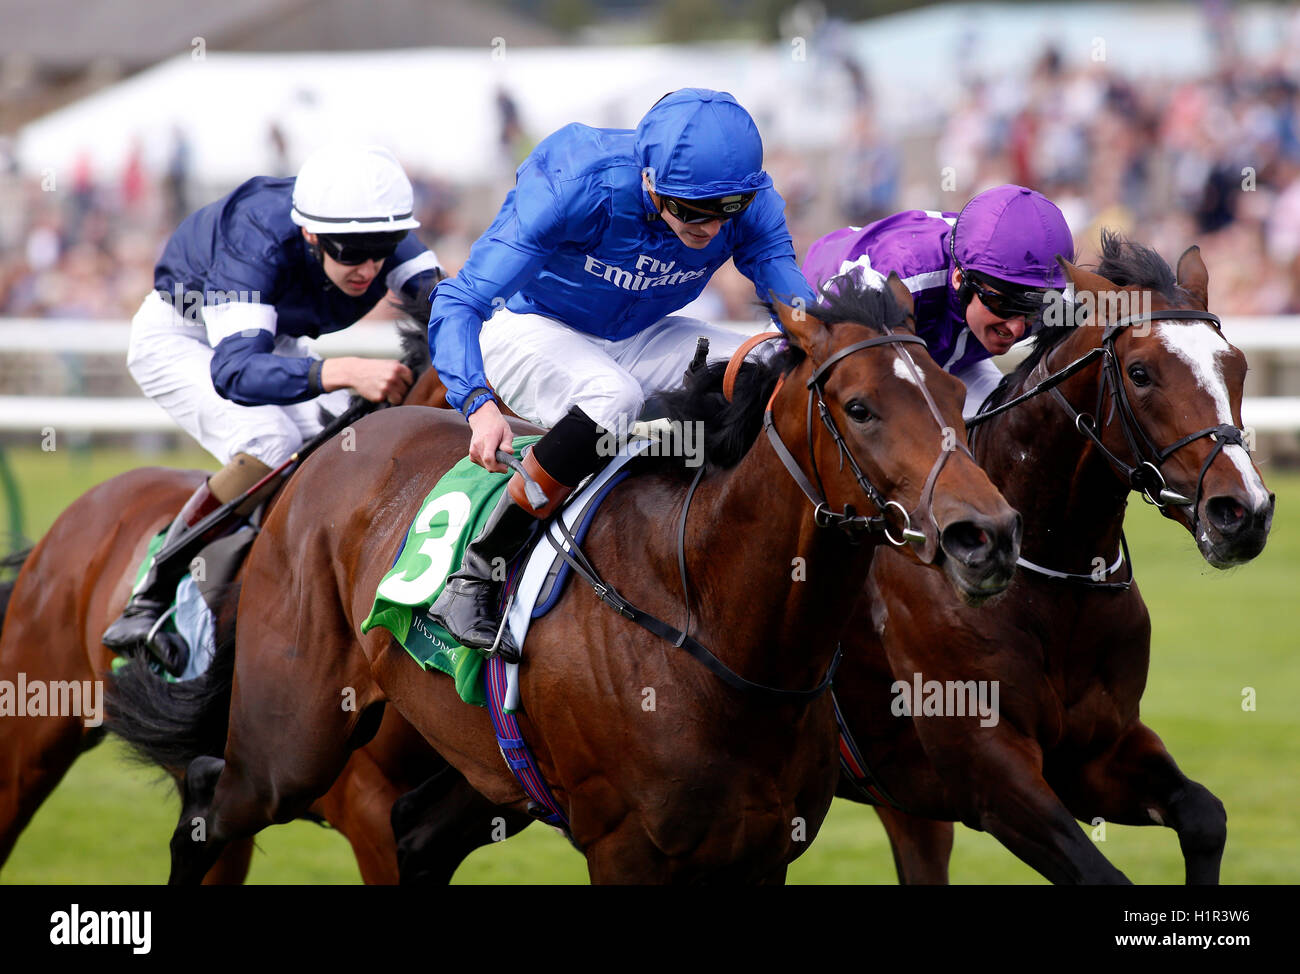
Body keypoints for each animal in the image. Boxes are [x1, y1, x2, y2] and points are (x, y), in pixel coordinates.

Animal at [126, 276, 1024, 884]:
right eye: (861, 408)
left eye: (956, 391)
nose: (986, 537)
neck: (713, 624)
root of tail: (322, 457)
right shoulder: (626, 848)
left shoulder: (763, 849)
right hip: (293, 742)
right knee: (207, 805)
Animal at [832, 234, 1268, 879]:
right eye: (1140, 373)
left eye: (1236, 366)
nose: (1245, 511)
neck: (1053, 580)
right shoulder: (990, 774)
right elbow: (1100, 872)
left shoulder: (1096, 751)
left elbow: (1204, 815)